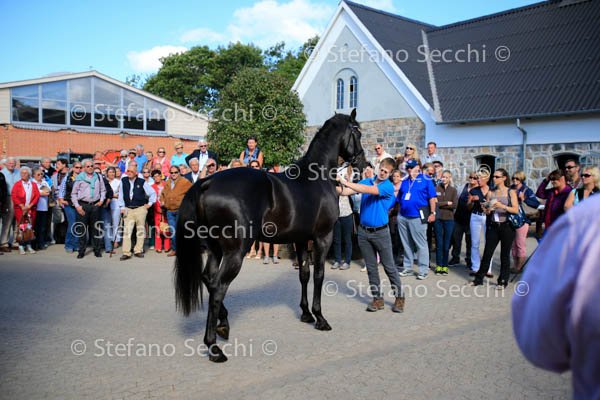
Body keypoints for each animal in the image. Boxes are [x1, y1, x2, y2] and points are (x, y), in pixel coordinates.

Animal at [174, 109, 367, 362]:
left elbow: (304, 274)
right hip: (235, 252)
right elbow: (318, 275)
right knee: (217, 286)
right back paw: (214, 346)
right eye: (357, 132)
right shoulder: (322, 237)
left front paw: (306, 314)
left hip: (216, 249)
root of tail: (208, 181)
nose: (364, 164)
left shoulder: (300, 239)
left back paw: (223, 325)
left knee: (208, 278)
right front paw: (320, 318)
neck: (316, 177)